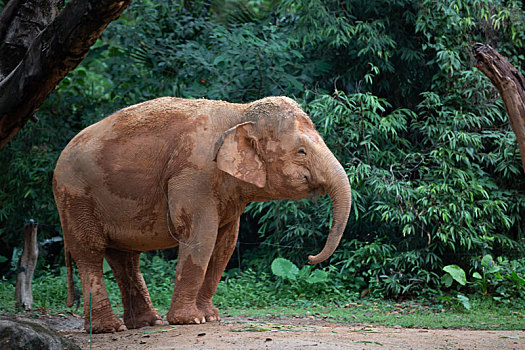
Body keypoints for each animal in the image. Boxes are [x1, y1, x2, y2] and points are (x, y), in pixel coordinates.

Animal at [52, 95, 352, 334]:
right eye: (301, 152)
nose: (310, 258)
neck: (240, 113)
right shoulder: (193, 175)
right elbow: (201, 235)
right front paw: (190, 321)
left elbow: (225, 243)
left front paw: (210, 317)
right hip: (75, 197)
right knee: (90, 251)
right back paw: (109, 328)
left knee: (124, 257)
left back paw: (147, 323)